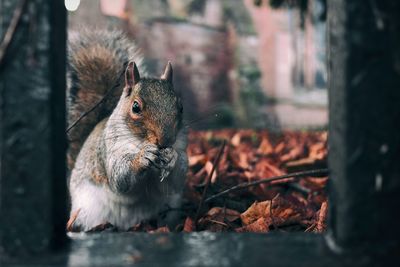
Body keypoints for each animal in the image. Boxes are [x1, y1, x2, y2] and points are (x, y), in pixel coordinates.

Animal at [67, 29, 188, 232]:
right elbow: (119, 177)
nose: (165, 141)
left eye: (180, 107)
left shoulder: (181, 147)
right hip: (87, 210)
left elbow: (178, 179)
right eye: (136, 107)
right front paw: (142, 157)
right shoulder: (110, 148)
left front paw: (171, 157)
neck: (140, 141)